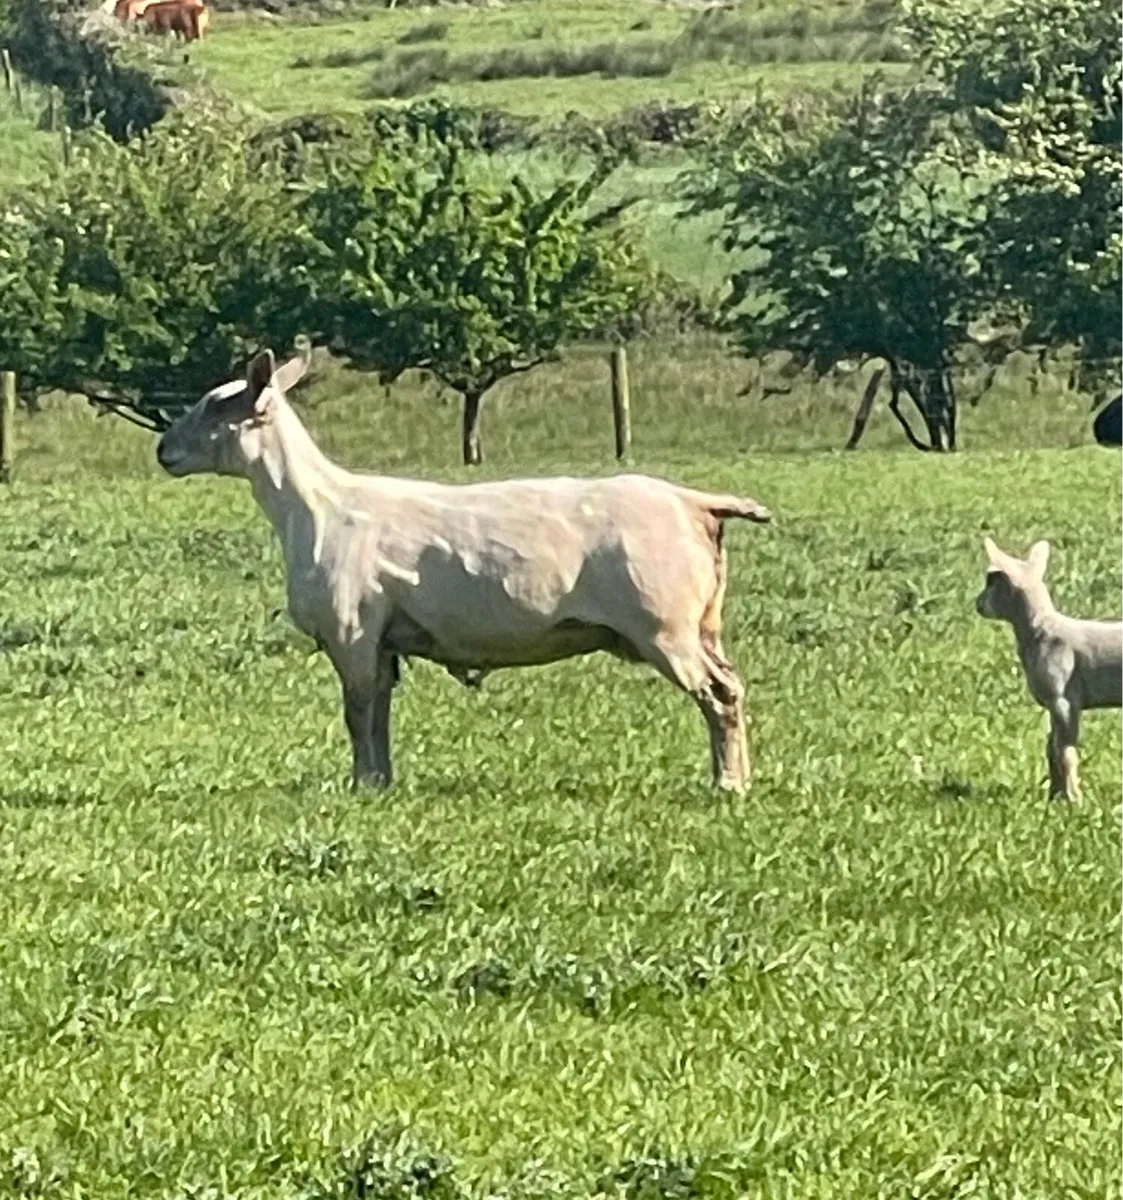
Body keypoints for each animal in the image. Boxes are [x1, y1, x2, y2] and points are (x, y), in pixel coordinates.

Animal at [155, 349, 774, 791]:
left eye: (216, 405)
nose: (163, 451)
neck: (316, 507)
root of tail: (695, 503)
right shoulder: (382, 641)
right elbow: (379, 712)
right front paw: (381, 784)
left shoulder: (350, 630)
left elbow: (357, 711)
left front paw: (361, 784)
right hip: (702, 622)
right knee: (732, 685)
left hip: (663, 624)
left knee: (720, 695)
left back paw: (728, 785)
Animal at [975, 537, 1122, 800]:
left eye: (991, 583)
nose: (977, 605)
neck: (1041, 629)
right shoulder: (1054, 705)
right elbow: (1050, 748)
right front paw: (1054, 795)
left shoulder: (1063, 700)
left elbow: (1065, 751)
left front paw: (1073, 799)